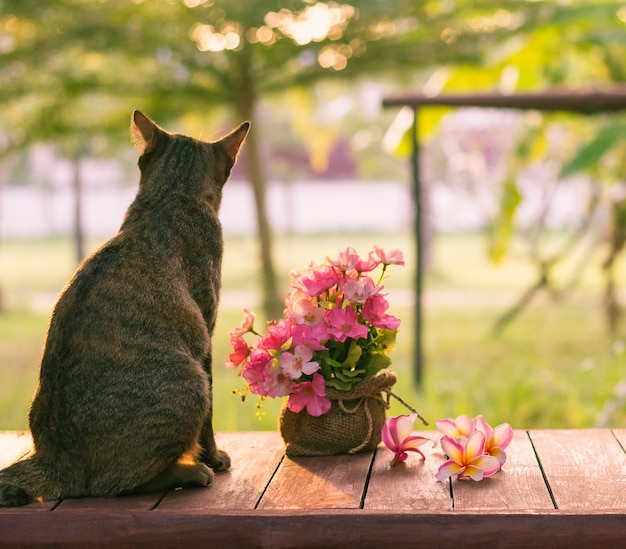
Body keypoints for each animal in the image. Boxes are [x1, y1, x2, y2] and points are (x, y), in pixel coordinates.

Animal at [0, 110, 249, 506]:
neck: (170, 195)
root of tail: (52, 458)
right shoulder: (206, 335)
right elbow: (209, 422)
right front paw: (213, 457)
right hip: (189, 382)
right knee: (114, 485)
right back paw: (191, 471)